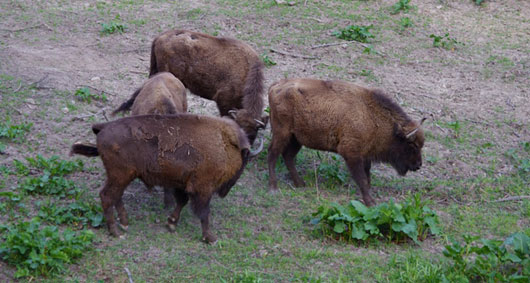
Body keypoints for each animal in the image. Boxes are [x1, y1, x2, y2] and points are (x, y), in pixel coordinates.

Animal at [72, 114, 262, 243]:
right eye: (244, 161)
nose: (225, 191)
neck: (224, 143)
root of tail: (102, 128)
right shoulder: (203, 189)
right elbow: (204, 213)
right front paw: (210, 238)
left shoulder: (184, 185)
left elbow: (182, 202)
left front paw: (171, 223)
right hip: (120, 176)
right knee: (107, 196)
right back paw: (116, 233)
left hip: (122, 177)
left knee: (116, 197)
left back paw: (125, 223)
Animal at [266, 79, 422, 207]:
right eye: (412, 145)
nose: (418, 165)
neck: (370, 115)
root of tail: (275, 86)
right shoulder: (352, 154)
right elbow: (362, 178)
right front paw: (370, 202)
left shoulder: (364, 155)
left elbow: (367, 176)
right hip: (282, 133)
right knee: (272, 154)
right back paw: (273, 187)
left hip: (296, 139)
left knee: (288, 156)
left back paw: (300, 183)